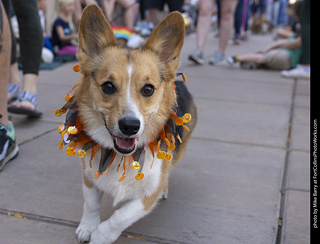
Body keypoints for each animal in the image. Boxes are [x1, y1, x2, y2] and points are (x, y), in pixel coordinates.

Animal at [68, 4, 195, 244]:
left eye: (148, 89)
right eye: (108, 86)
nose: (129, 126)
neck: (120, 156)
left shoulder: (148, 195)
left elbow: (120, 217)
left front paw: (100, 236)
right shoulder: (88, 176)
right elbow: (91, 204)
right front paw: (87, 227)